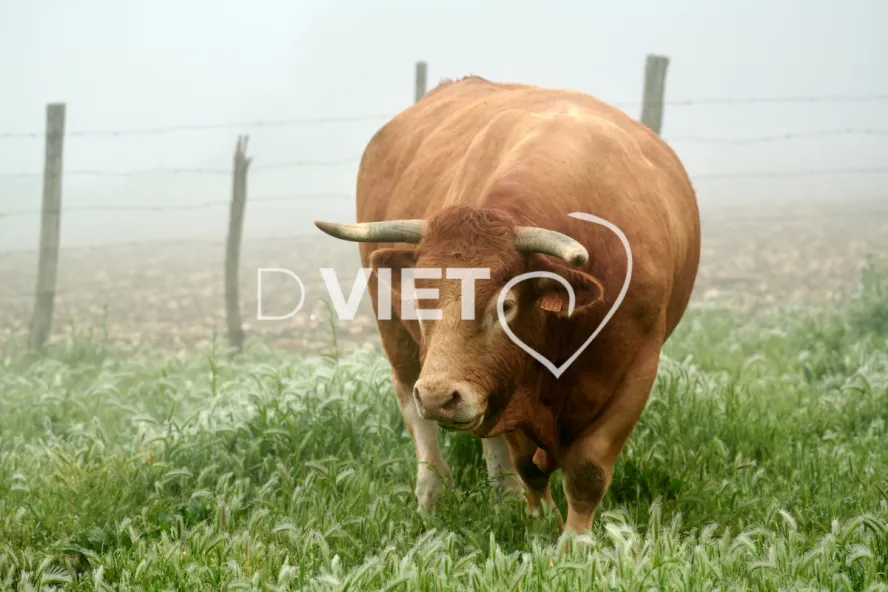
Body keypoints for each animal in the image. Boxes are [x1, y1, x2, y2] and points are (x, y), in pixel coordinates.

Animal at [314, 75, 700, 537]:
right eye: (421, 296)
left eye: (507, 305)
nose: (439, 396)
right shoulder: (509, 380)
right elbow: (526, 463)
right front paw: (539, 523)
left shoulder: (636, 369)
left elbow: (587, 470)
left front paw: (573, 542)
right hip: (396, 338)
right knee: (418, 415)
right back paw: (435, 495)